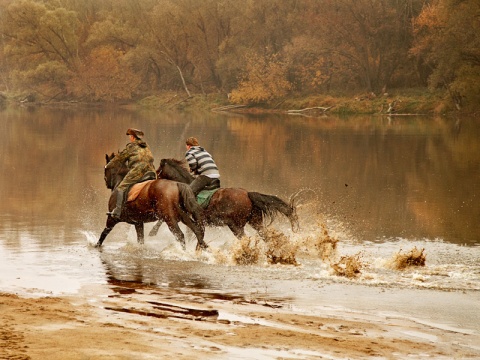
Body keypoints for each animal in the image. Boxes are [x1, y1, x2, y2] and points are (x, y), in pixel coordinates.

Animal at [150, 158, 300, 239]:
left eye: (158, 171)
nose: (153, 180)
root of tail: (248, 194)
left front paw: (152, 232)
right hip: (256, 223)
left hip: (236, 226)